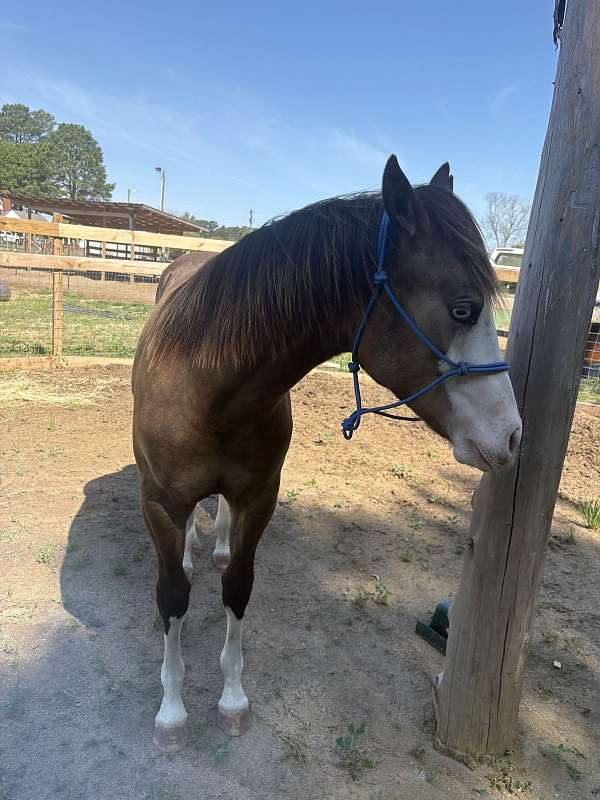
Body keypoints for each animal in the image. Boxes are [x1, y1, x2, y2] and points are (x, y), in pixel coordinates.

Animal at [132, 155, 522, 752]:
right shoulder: (159, 504)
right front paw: (171, 713)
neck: (207, 386)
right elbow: (172, 596)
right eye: (463, 309)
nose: (512, 435)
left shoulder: (259, 498)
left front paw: (232, 700)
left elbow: (237, 586)